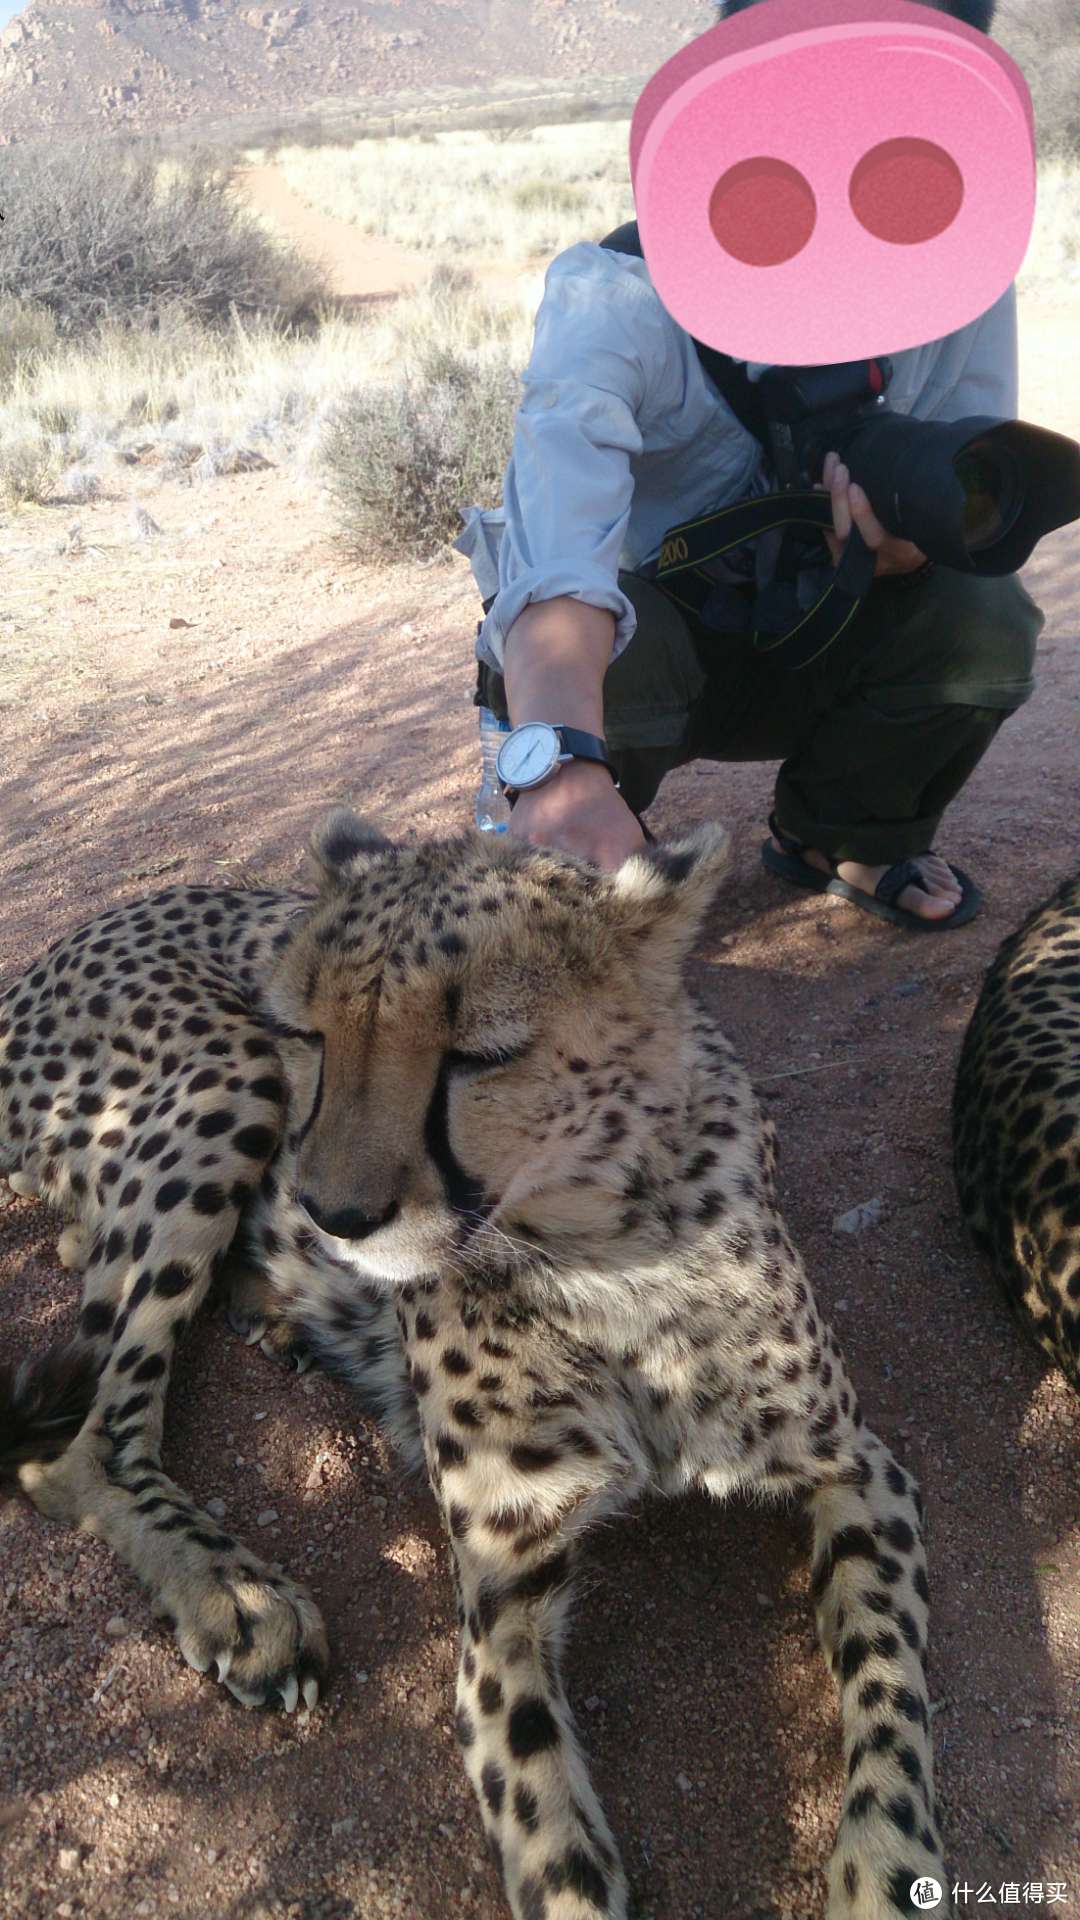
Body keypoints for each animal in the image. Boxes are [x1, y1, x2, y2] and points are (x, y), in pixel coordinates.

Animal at [0, 814, 941, 1920]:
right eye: (309, 1034)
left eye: (478, 1054)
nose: (331, 1214)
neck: (599, 1253)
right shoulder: (502, 1578)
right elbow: (551, 1837)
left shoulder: (858, 1468)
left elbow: (892, 1693)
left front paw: (889, 1871)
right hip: (225, 1079)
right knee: (78, 1446)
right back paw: (238, 1596)